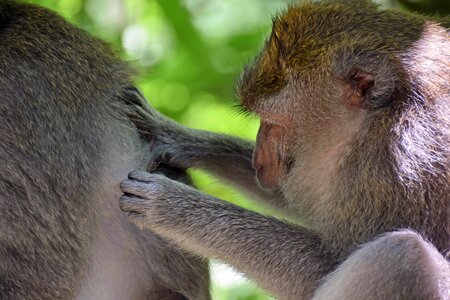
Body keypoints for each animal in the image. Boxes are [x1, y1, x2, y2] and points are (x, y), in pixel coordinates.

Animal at [118, 1, 450, 298]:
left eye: (274, 122)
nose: (259, 160)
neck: (381, 120)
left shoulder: (395, 171)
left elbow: (324, 269)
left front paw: (174, 207)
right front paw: (176, 136)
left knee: (402, 255)